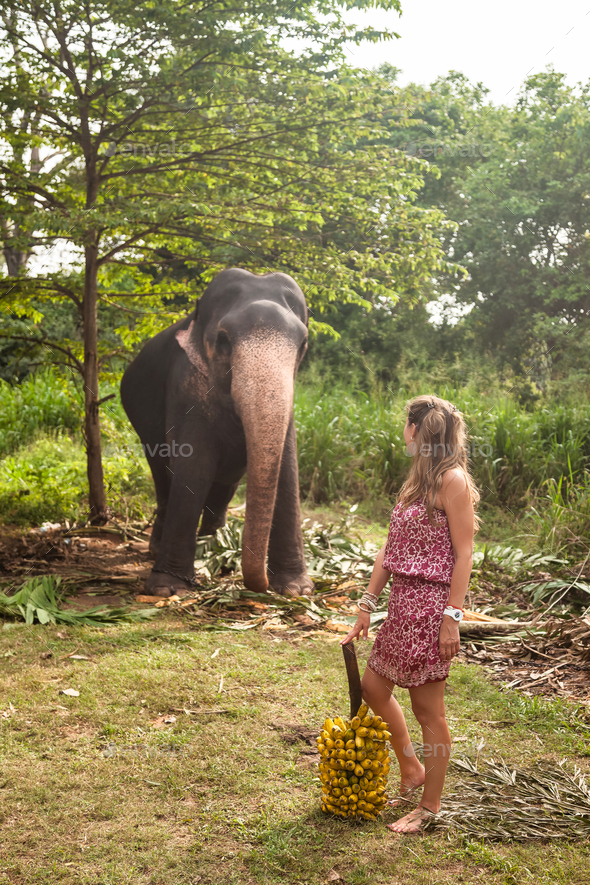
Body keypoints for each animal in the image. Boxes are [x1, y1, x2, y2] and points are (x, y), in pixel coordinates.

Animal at [120, 267, 314, 598]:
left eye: (302, 344)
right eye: (223, 341)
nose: (260, 585)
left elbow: (287, 470)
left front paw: (295, 590)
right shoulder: (186, 384)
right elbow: (194, 466)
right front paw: (168, 589)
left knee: (224, 486)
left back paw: (213, 546)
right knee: (163, 476)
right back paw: (165, 550)